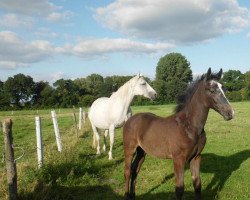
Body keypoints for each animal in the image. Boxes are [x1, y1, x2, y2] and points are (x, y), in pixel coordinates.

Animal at [123, 68, 234, 199]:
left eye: (224, 89)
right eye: (212, 90)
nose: (230, 113)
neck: (189, 127)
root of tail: (130, 119)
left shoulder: (196, 157)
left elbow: (197, 184)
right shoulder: (178, 159)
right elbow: (179, 188)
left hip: (141, 152)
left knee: (134, 171)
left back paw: (132, 195)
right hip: (129, 149)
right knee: (127, 171)